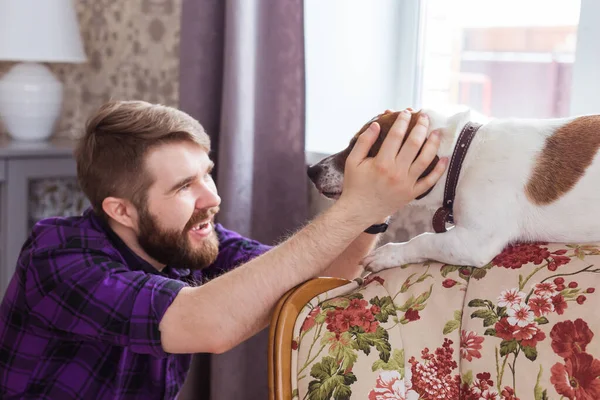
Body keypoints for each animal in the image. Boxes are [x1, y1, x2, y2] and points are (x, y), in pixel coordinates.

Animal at [308, 108, 600, 272]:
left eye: (357, 146)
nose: (311, 170)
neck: (465, 153)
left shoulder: (475, 241)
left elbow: (423, 239)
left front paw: (388, 254)